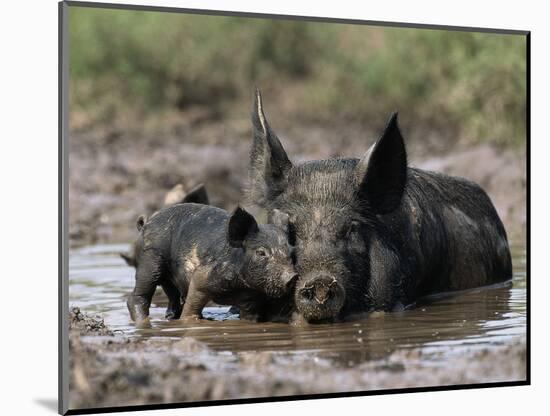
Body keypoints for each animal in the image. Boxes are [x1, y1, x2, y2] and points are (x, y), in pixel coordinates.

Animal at [127, 203, 300, 324]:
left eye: (291, 252)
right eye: (261, 252)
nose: (292, 276)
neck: (239, 287)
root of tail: (145, 224)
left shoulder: (251, 298)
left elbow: (249, 317)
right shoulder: (202, 276)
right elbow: (192, 305)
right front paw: (190, 322)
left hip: (169, 278)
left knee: (173, 297)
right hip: (149, 259)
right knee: (138, 296)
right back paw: (144, 321)